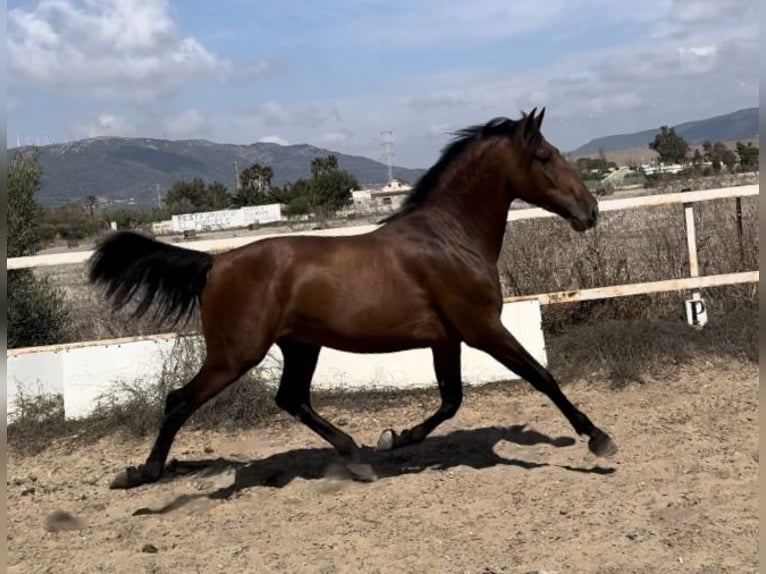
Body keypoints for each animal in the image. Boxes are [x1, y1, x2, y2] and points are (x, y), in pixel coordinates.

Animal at [88, 109, 616, 490]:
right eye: (545, 156)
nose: (589, 211)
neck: (449, 238)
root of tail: (215, 263)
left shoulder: (446, 338)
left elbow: (451, 400)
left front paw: (393, 439)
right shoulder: (482, 328)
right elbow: (541, 376)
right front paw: (598, 439)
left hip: (301, 345)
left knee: (292, 398)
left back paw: (358, 458)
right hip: (236, 354)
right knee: (180, 401)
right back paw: (140, 474)